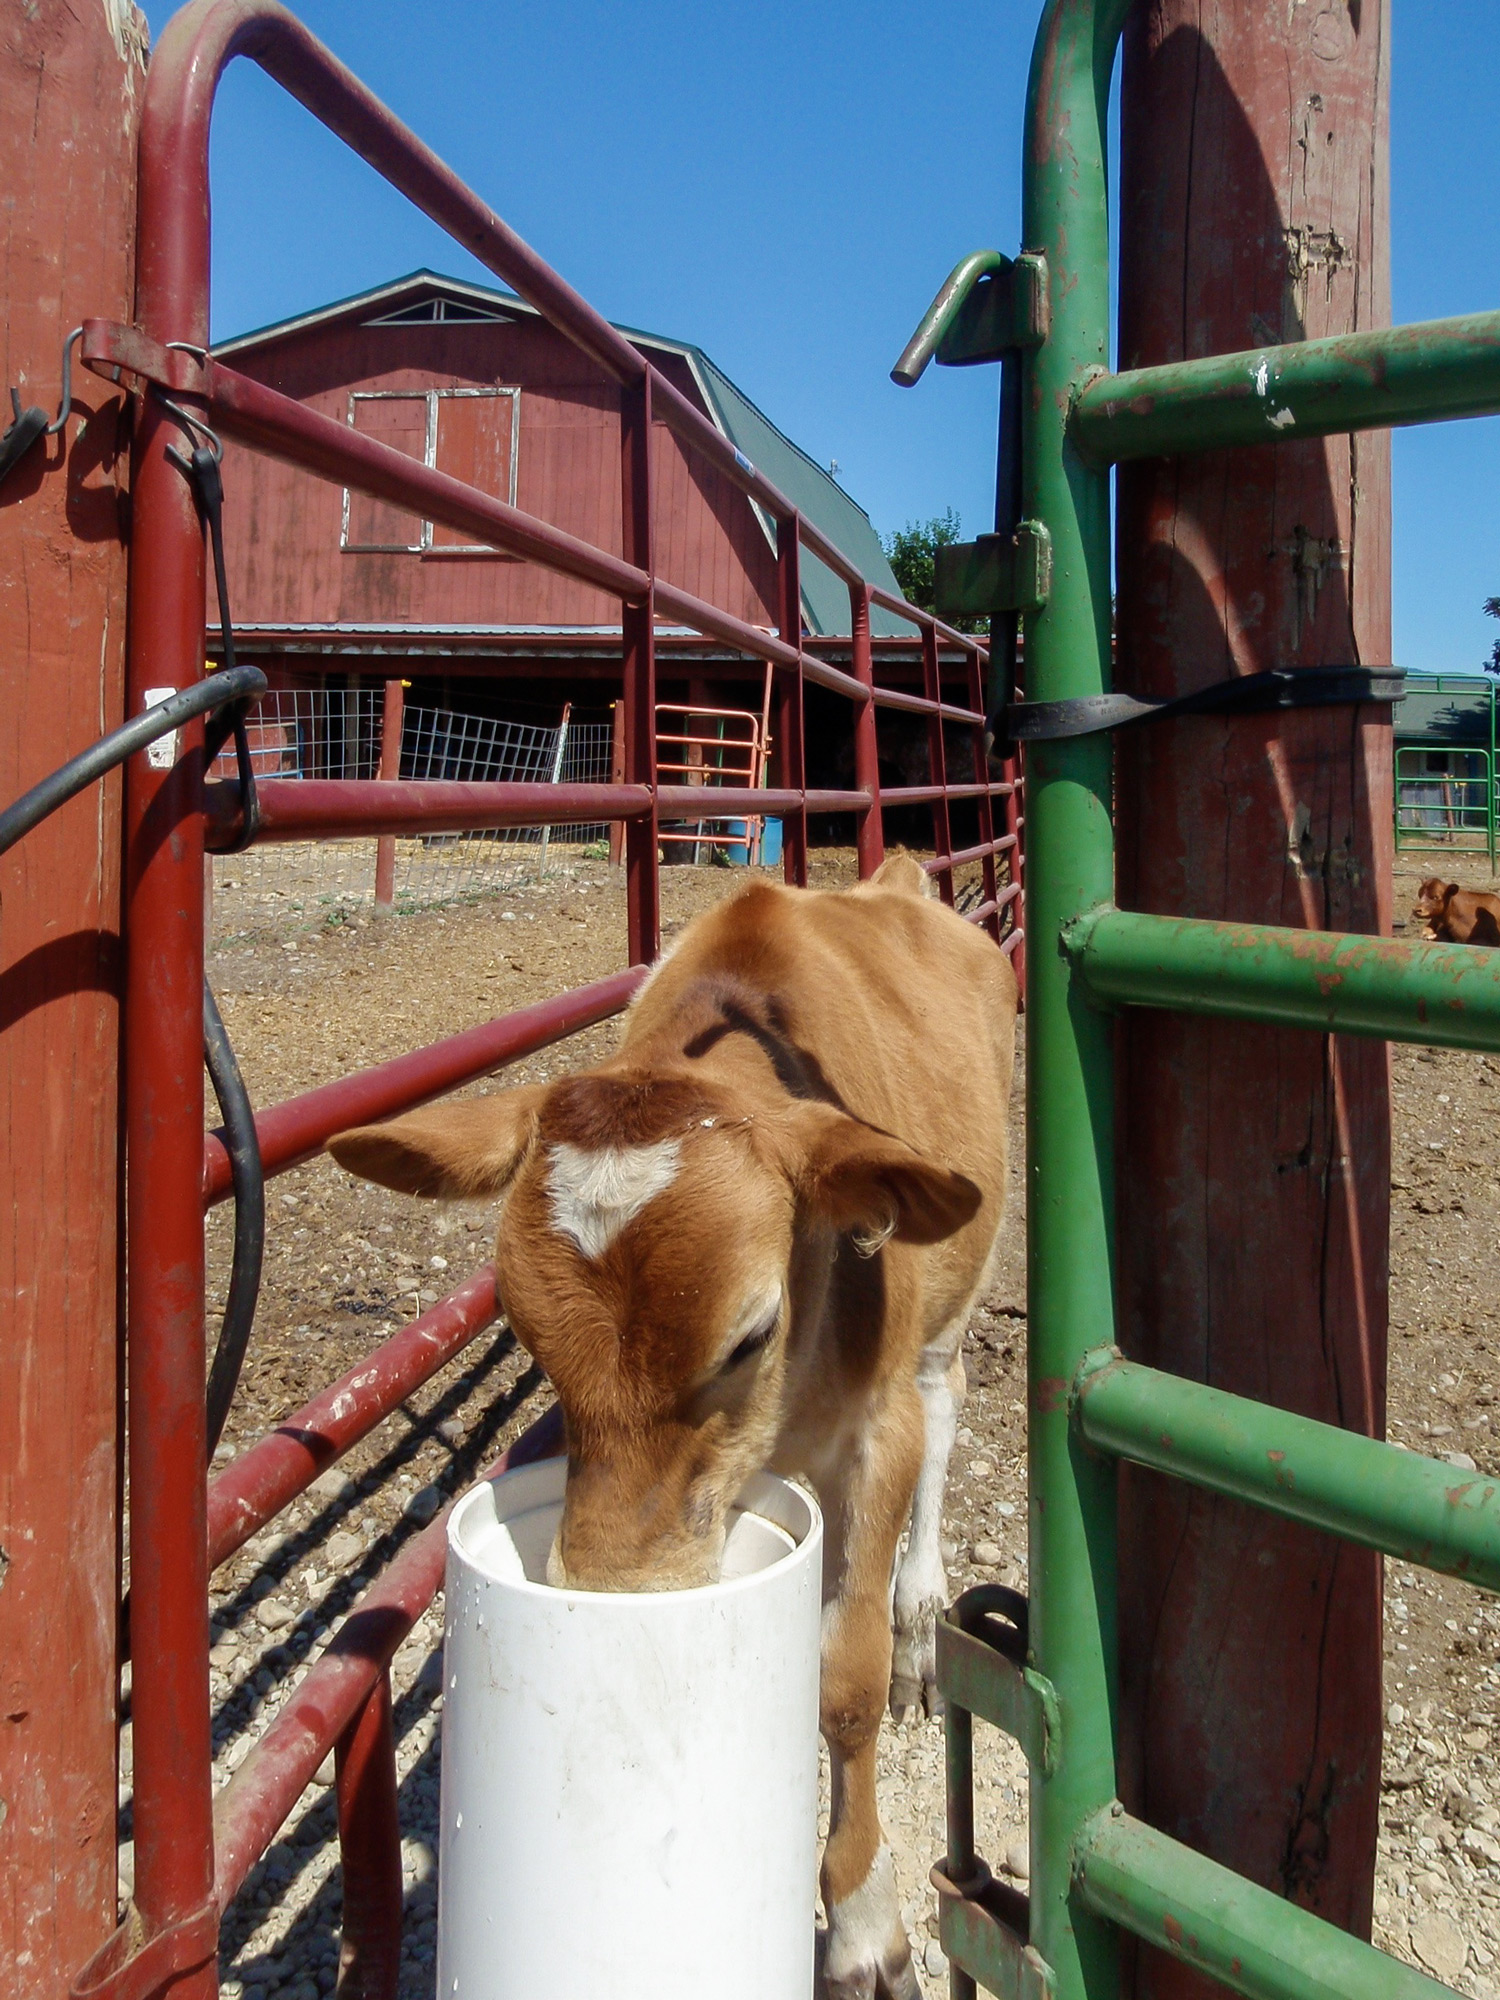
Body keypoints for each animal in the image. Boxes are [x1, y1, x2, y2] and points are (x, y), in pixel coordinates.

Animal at [328, 853, 1017, 2000]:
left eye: (750, 1335)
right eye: (525, 1332)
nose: (616, 1593)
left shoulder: (876, 1433)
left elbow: (847, 1681)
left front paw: (864, 1927)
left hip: (957, 1295)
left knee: (945, 1395)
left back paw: (923, 1618)